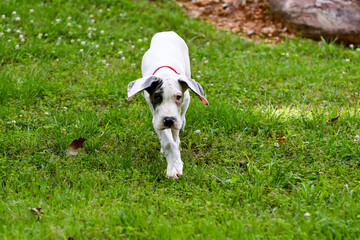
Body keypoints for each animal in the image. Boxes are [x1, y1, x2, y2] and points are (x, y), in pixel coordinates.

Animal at [129, 31, 208, 178]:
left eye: (178, 97)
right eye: (157, 96)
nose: (169, 120)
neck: (165, 73)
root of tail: (166, 32)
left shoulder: (184, 102)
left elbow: (175, 134)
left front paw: (176, 160)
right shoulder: (157, 118)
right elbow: (168, 142)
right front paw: (174, 165)